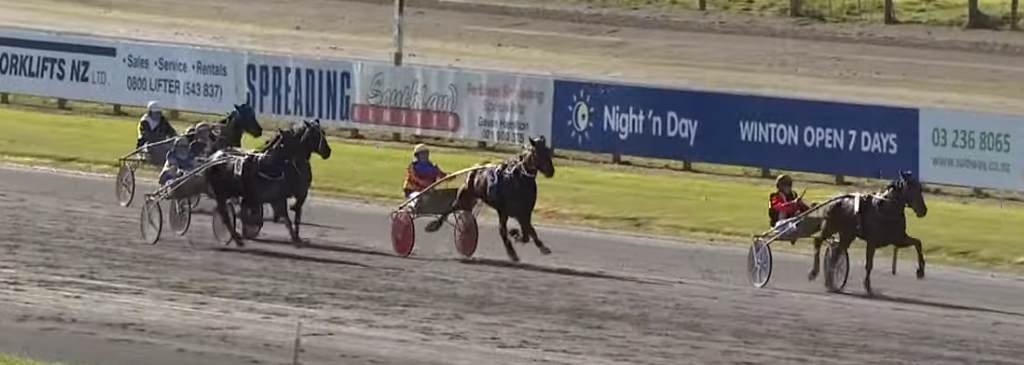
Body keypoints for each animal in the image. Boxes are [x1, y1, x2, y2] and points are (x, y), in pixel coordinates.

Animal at [425, 135, 557, 260]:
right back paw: (433, 225)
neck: (518, 179)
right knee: (451, 208)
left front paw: (538, 245)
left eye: (548, 151)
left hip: (471, 201)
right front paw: (513, 242)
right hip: (465, 195)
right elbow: (511, 231)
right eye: (537, 153)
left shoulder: (524, 212)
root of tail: (475, 168)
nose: (551, 171)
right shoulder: (507, 211)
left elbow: (528, 233)